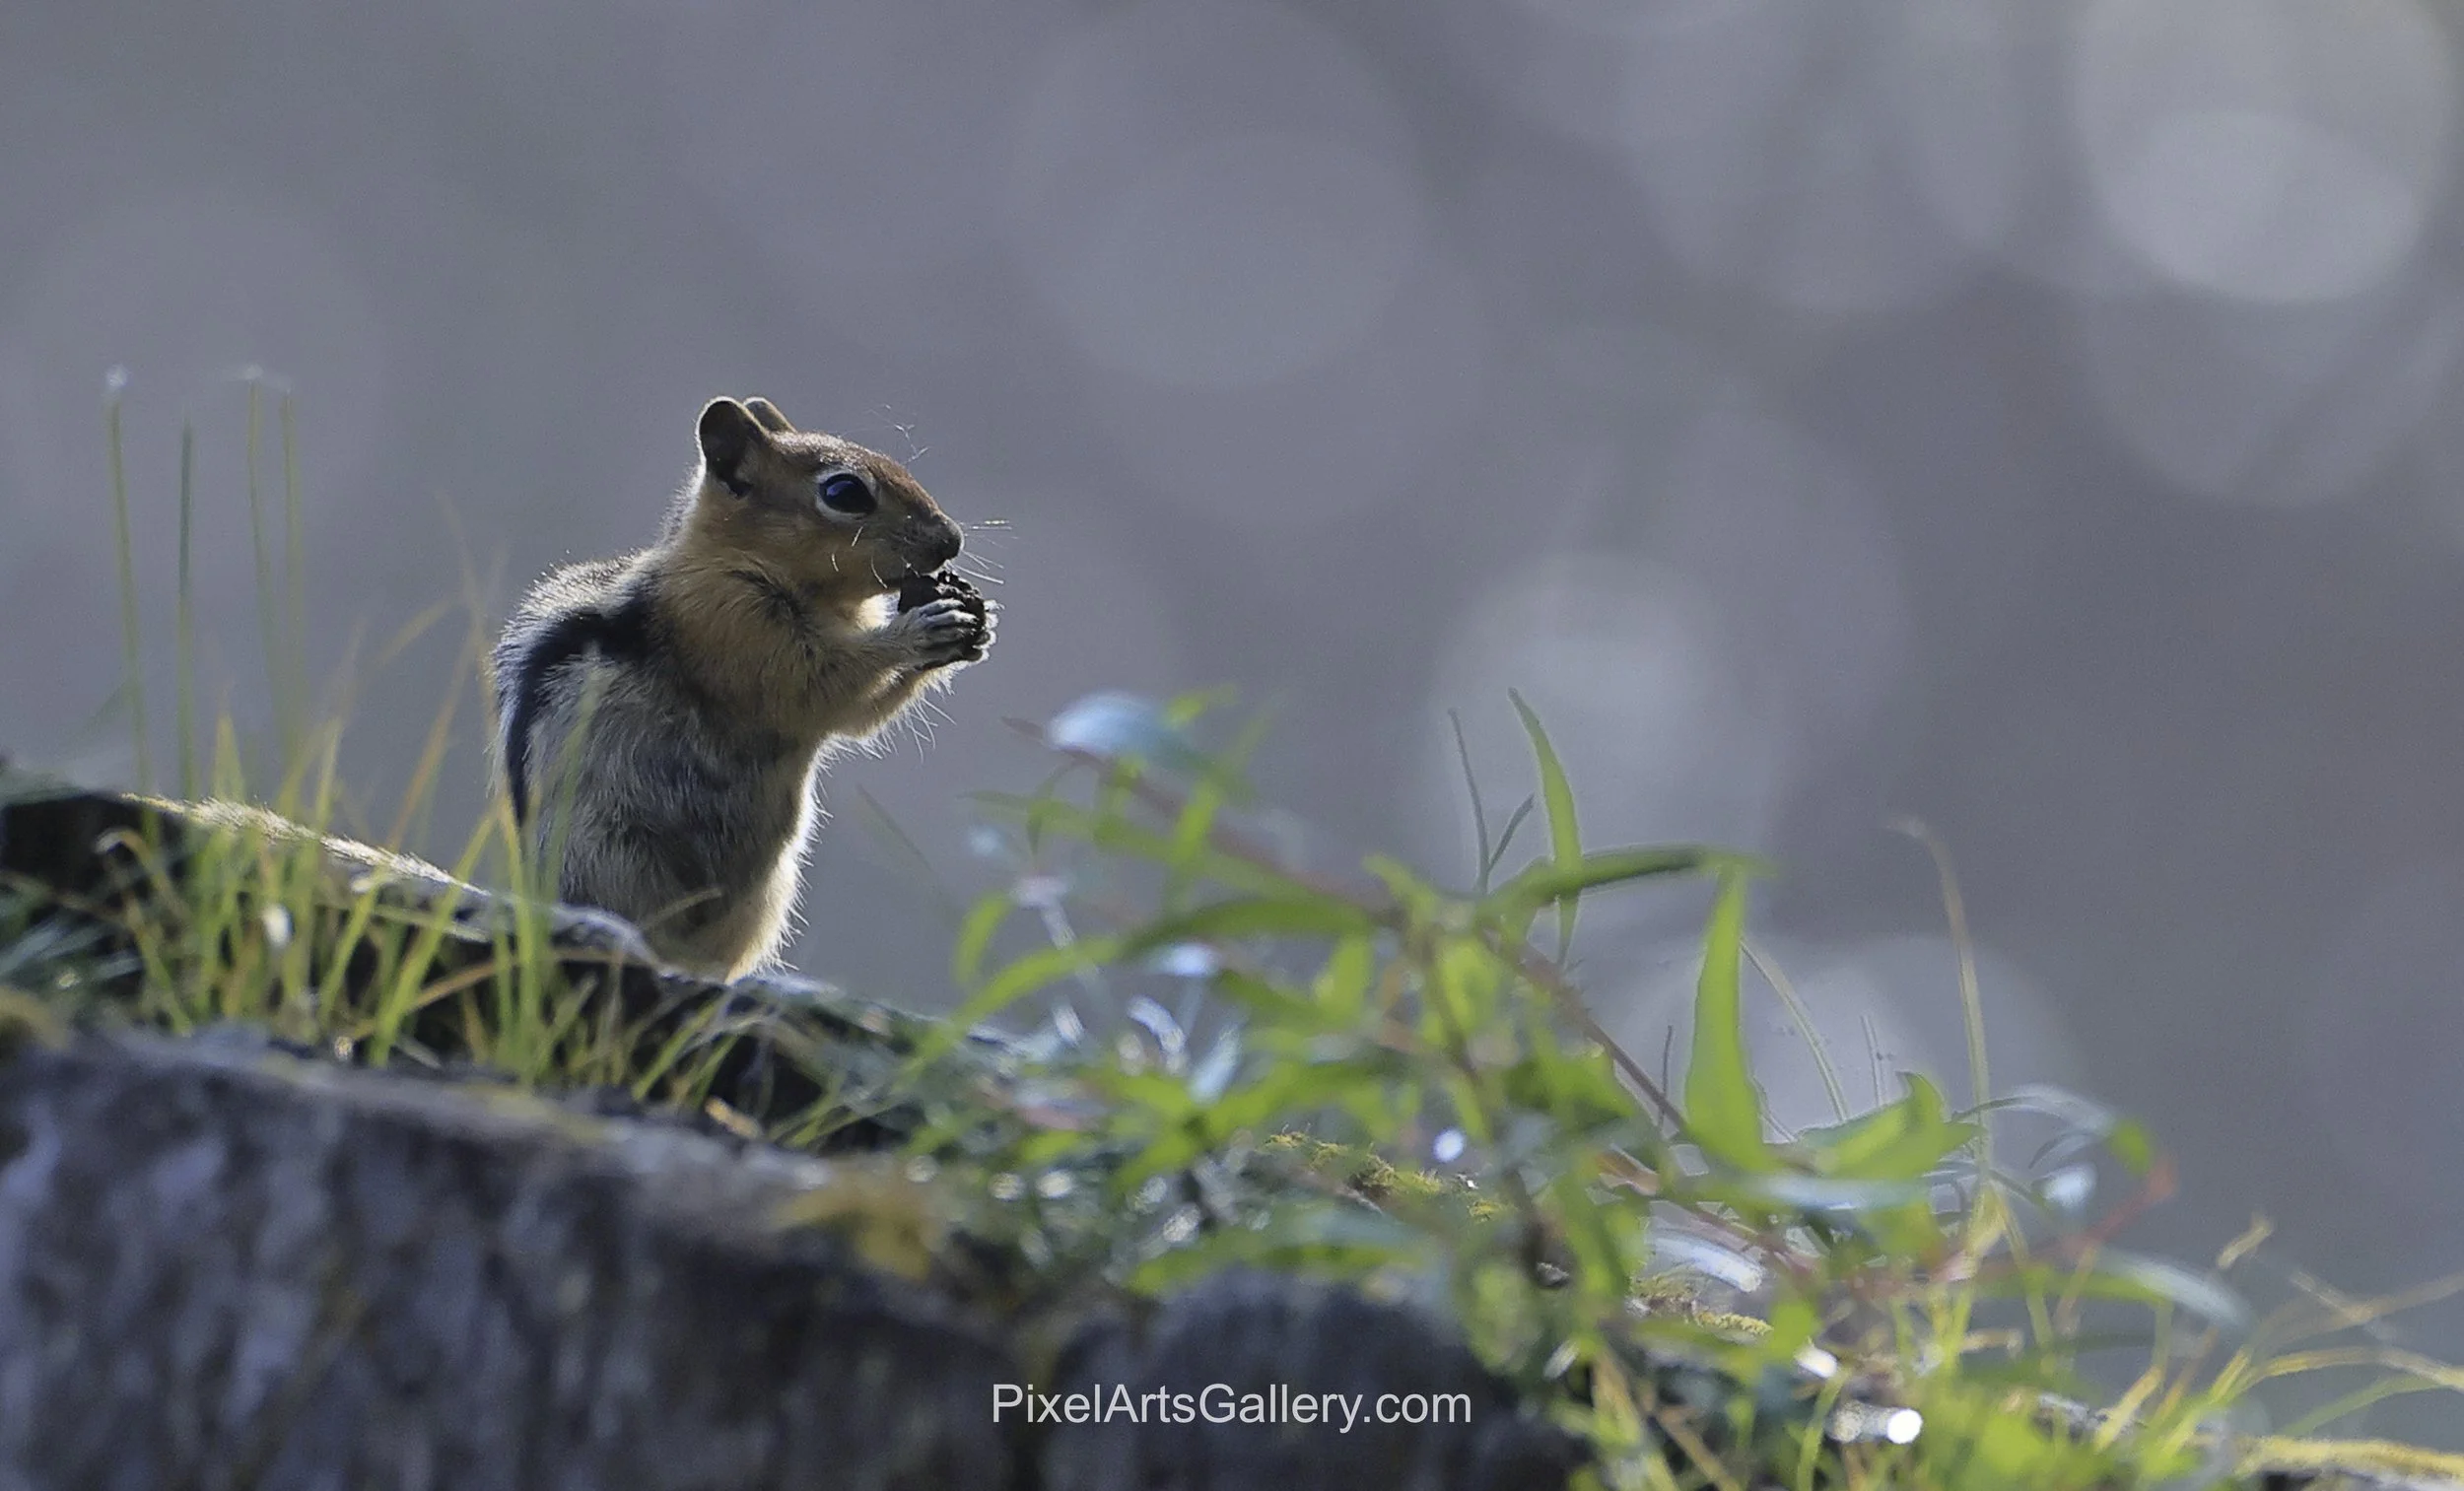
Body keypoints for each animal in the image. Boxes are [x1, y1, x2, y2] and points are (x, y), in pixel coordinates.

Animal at [490, 396, 995, 980]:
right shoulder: (731, 621)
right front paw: (921, 628)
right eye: (844, 493)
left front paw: (975, 628)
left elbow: (857, 716)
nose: (952, 540)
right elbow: (825, 685)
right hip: (617, 860)